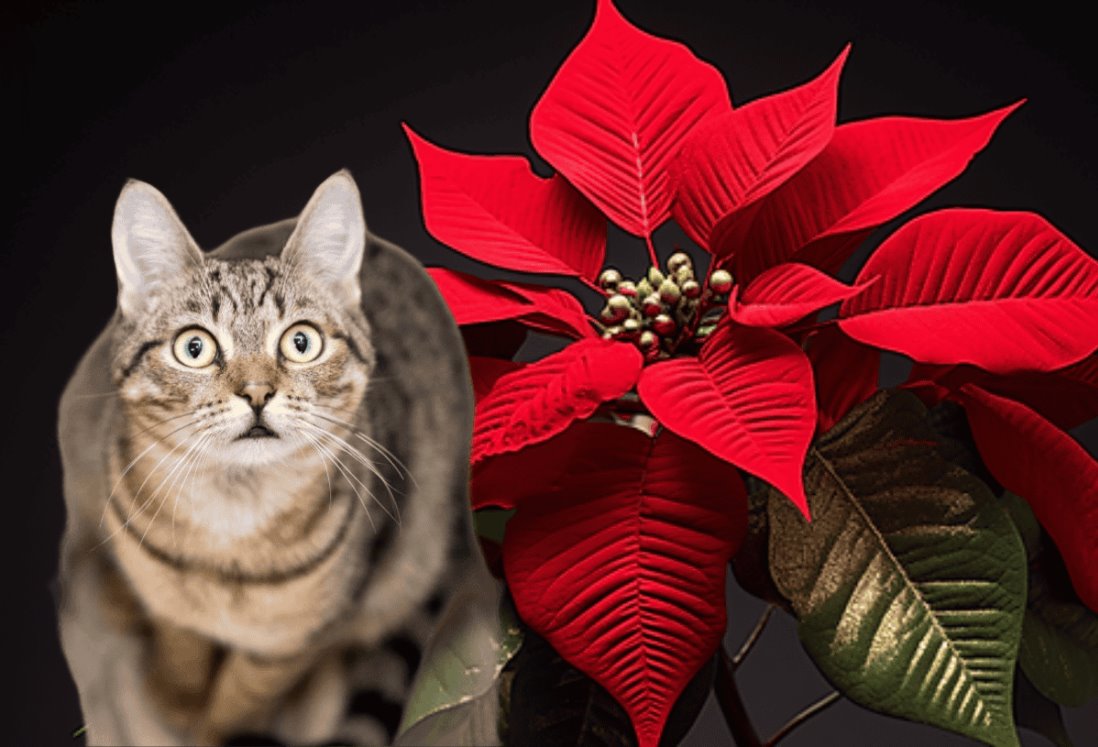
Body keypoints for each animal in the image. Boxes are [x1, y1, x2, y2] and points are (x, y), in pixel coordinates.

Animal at [54, 172, 494, 742]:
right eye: (194, 348)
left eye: (301, 342)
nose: (257, 392)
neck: (232, 520)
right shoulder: (168, 605)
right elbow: (182, 650)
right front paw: (177, 698)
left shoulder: (290, 643)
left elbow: (243, 694)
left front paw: (212, 725)